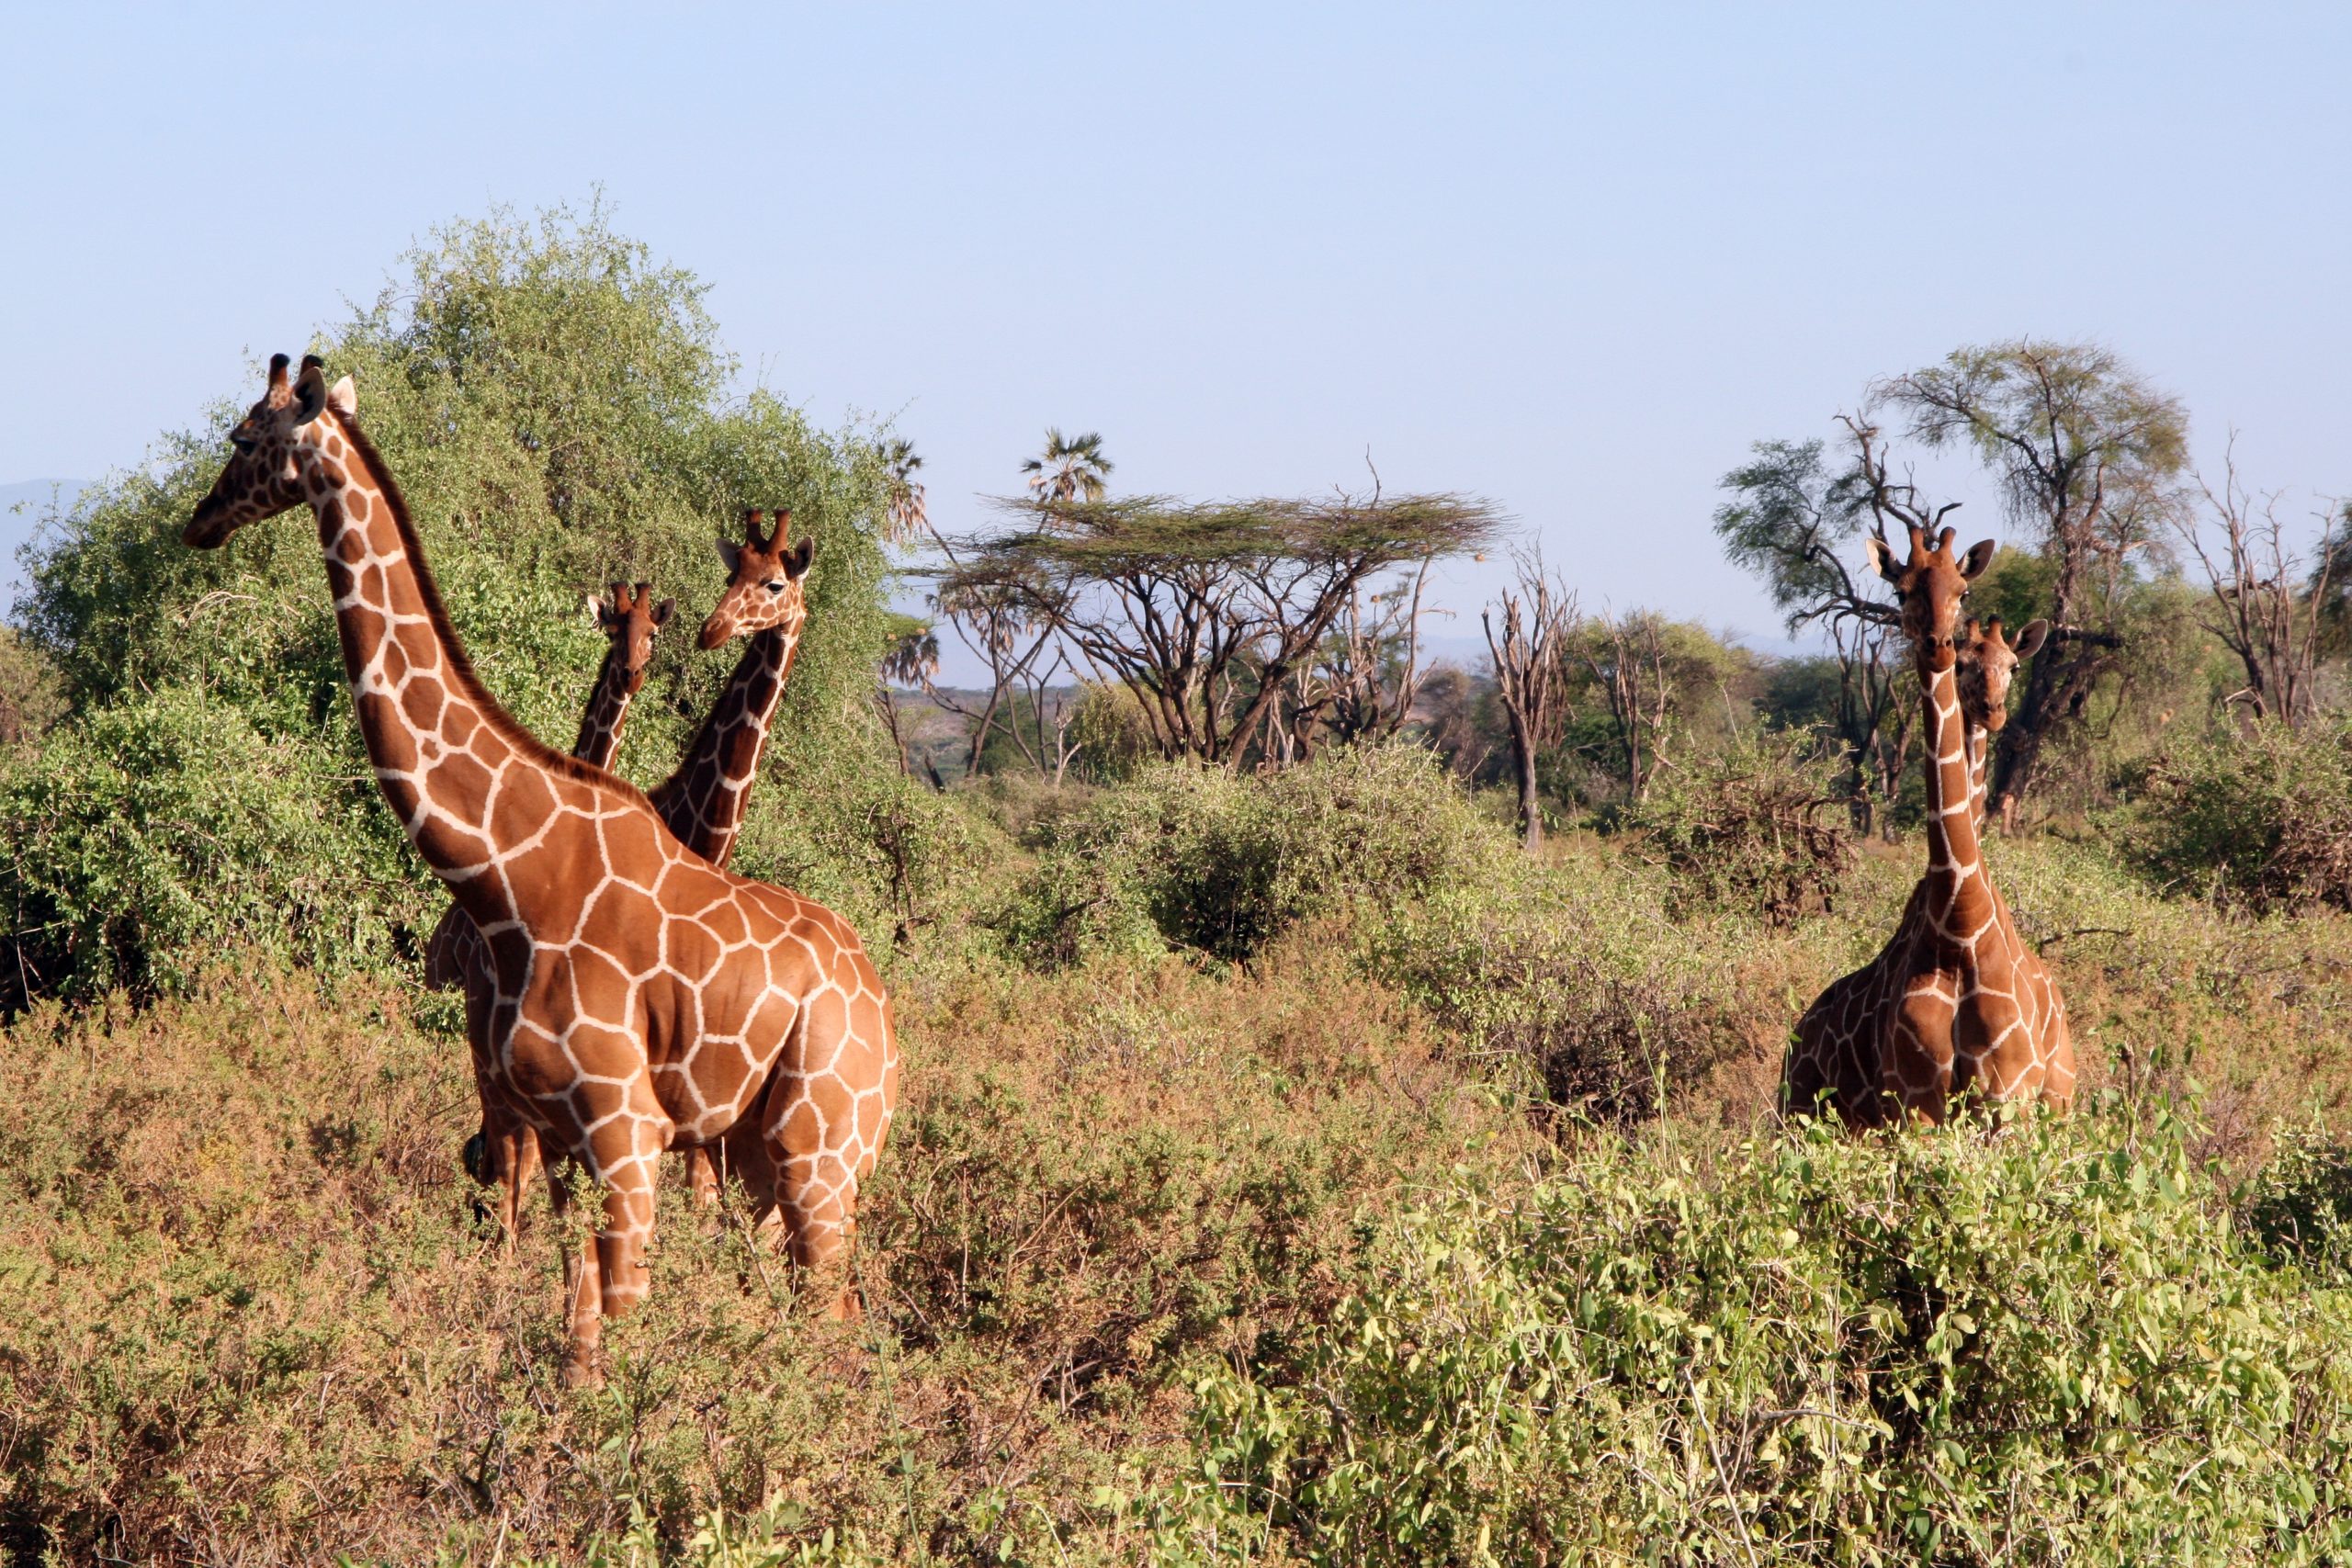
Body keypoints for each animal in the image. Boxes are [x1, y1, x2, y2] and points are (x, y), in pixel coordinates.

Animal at [1778, 526, 2079, 1128]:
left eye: (1961, 591)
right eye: (1902, 589)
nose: (1938, 646)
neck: (1960, 923)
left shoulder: (2006, 1097)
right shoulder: (1915, 1102)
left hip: (2059, 1101)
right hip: (1802, 1111)